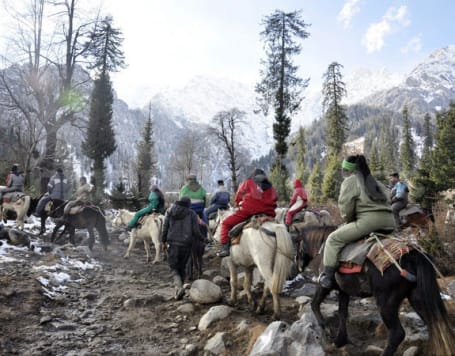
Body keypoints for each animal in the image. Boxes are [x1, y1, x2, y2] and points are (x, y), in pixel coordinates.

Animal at [296, 225, 455, 356]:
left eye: (296, 243)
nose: (298, 267)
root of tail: (413, 256)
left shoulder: (324, 285)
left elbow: (315, 304)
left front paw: (325, 328)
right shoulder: (344, 291)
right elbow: (342, 313)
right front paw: (339, 340)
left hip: (386, 303)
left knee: (397, 334)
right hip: (417, 298)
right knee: (434, 325)